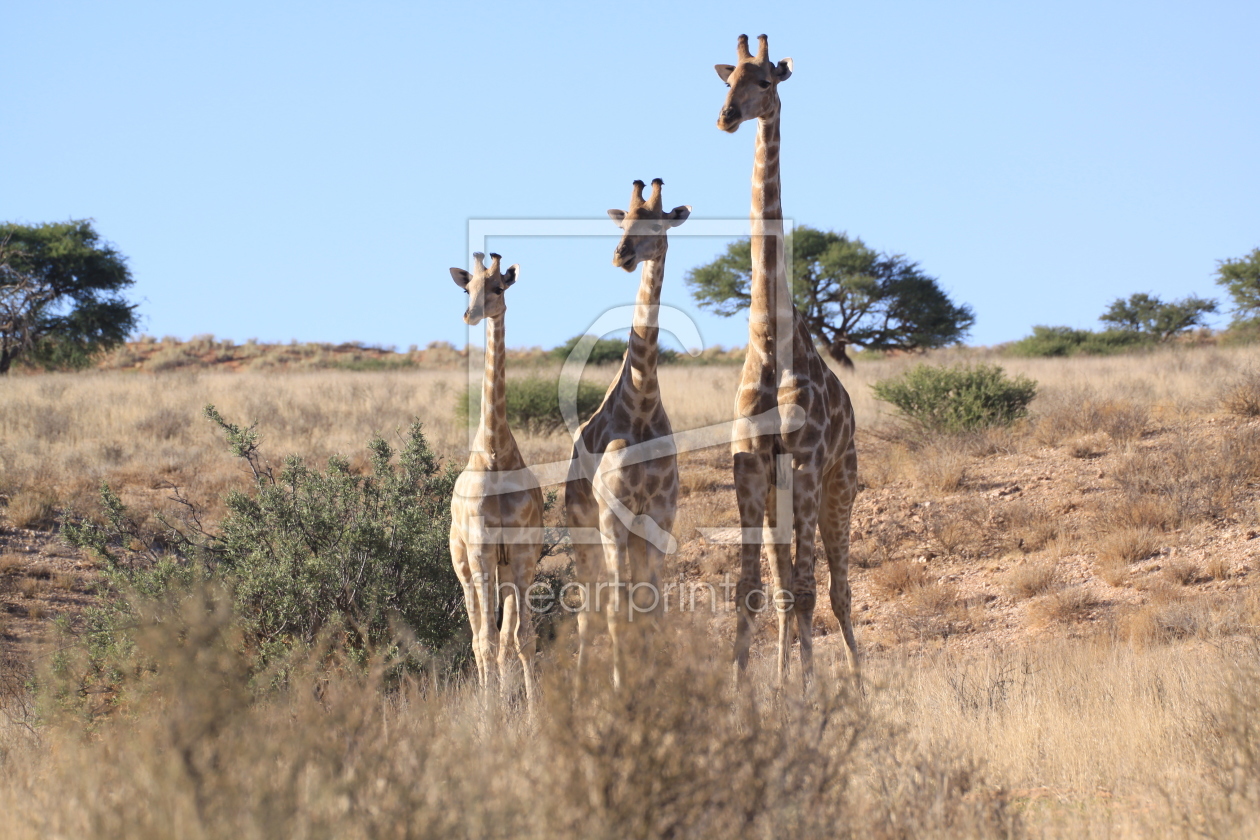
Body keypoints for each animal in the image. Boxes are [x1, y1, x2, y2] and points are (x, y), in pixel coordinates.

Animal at [569, 181, 695, 685]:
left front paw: (652, 683)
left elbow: (651, 609)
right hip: (584, 532)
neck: (640, 405)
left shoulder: (659, 515)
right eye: (623, 223)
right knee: (589, 611)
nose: (621, 254)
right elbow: (618, 612)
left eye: (657, 224)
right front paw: (623, 690)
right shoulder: (613, 515)